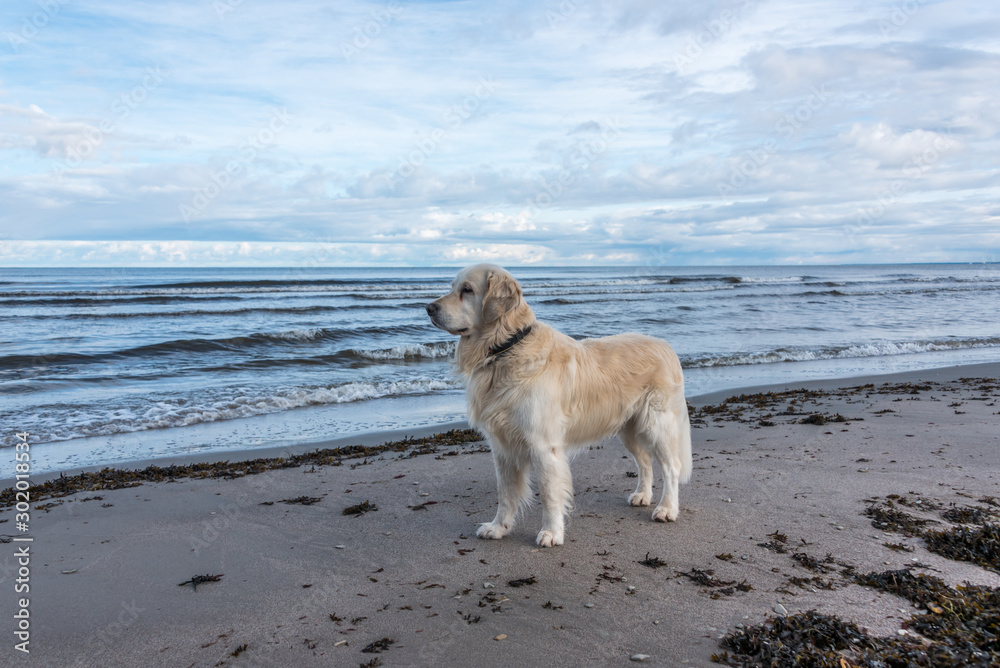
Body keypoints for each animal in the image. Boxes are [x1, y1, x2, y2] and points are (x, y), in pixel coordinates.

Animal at [426, 264, 692, 544]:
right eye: (452, 287)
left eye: (467, 290)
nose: (429, 308)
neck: (506, 348)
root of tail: (666, 346)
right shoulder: (503, 447)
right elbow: (505, 494)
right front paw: (498, 527)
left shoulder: (543, 445)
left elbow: (549, 493)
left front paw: (551, 532)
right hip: (628, 427)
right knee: (645, 462)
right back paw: (642, 495)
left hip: (657, 424)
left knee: (672, 467)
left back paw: (667, 508)